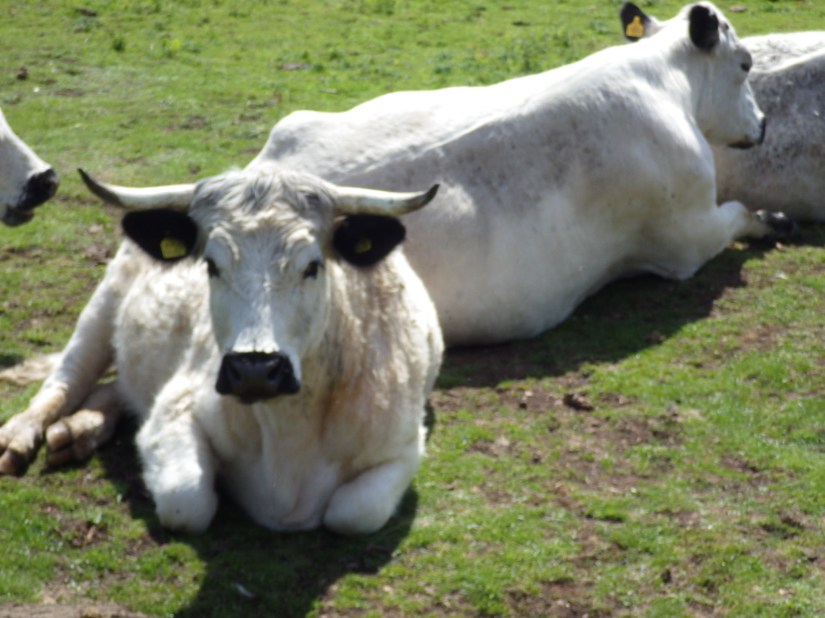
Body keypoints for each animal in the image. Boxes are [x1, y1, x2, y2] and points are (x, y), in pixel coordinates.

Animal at [0, 167, 443, 535]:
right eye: (211, 266)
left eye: (312, 266)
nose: (254, 369)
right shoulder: (173, 410)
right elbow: (185, 502)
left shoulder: (403, 447)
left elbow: (354, 513)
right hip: (100, 311)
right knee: (63, 384)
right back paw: (20, 438)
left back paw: (79, 429)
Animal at [53, 3, 792, 347]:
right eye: (746, 64)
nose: (761, 126)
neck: (663, 80)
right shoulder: (686, 236)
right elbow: (741, 216)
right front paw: (772, 218)